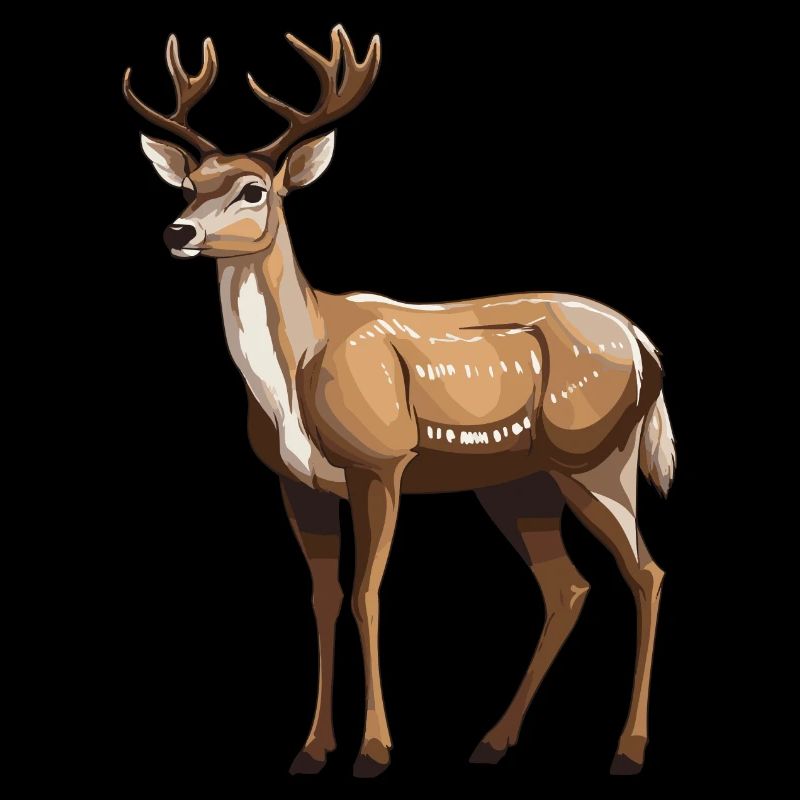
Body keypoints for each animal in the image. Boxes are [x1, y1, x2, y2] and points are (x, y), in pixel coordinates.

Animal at [124, 26, 676, 778]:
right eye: (190, 184)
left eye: (253, 189)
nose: (178, 232)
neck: (300, 367)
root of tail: (647, 346)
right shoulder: (295, 482)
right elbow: (322, 597)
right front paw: (310, 750)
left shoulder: (382, 460)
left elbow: (366, 593)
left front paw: (375, 750)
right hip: (518, 483)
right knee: (567, 586)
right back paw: (491, 741)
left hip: (596, 453)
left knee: (645, 571)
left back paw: (628, 749)